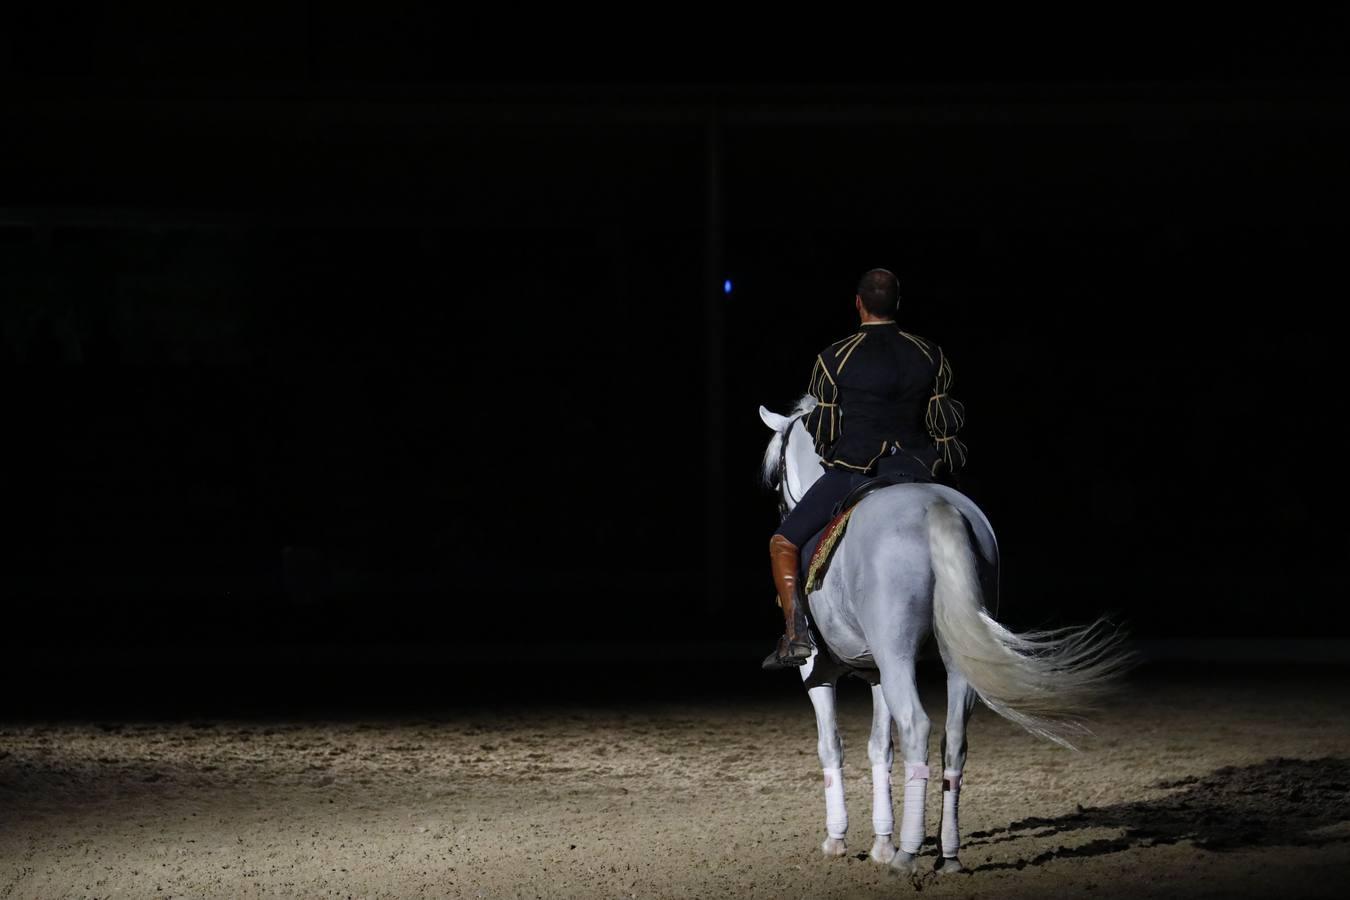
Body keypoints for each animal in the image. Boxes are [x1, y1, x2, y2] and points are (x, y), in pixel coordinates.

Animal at [761, 394, 1128, 874]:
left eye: (776, 474)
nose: (784, 508)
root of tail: (935, 505)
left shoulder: (816, 672)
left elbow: (832, 746)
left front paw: (839, 840)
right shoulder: (876, 672)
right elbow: (880, 748)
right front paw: (880, 842)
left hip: (898, 657)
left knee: (917, 727)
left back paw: (908, 855)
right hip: (954, 662)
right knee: (953, 741)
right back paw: (946, 854)